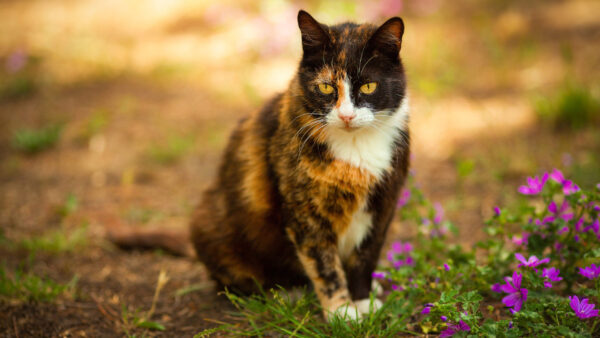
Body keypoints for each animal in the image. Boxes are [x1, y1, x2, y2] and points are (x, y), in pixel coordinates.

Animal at [190, 9, 410, 320]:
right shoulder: (307, 212)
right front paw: (342, 311)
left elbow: (365, 257)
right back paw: (286, 292)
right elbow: (324, 265)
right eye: (326, 86)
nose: (346, 116)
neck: (356, 147)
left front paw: (362, 300)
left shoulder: (383, 206)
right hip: (211, 225)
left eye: (369, 85)